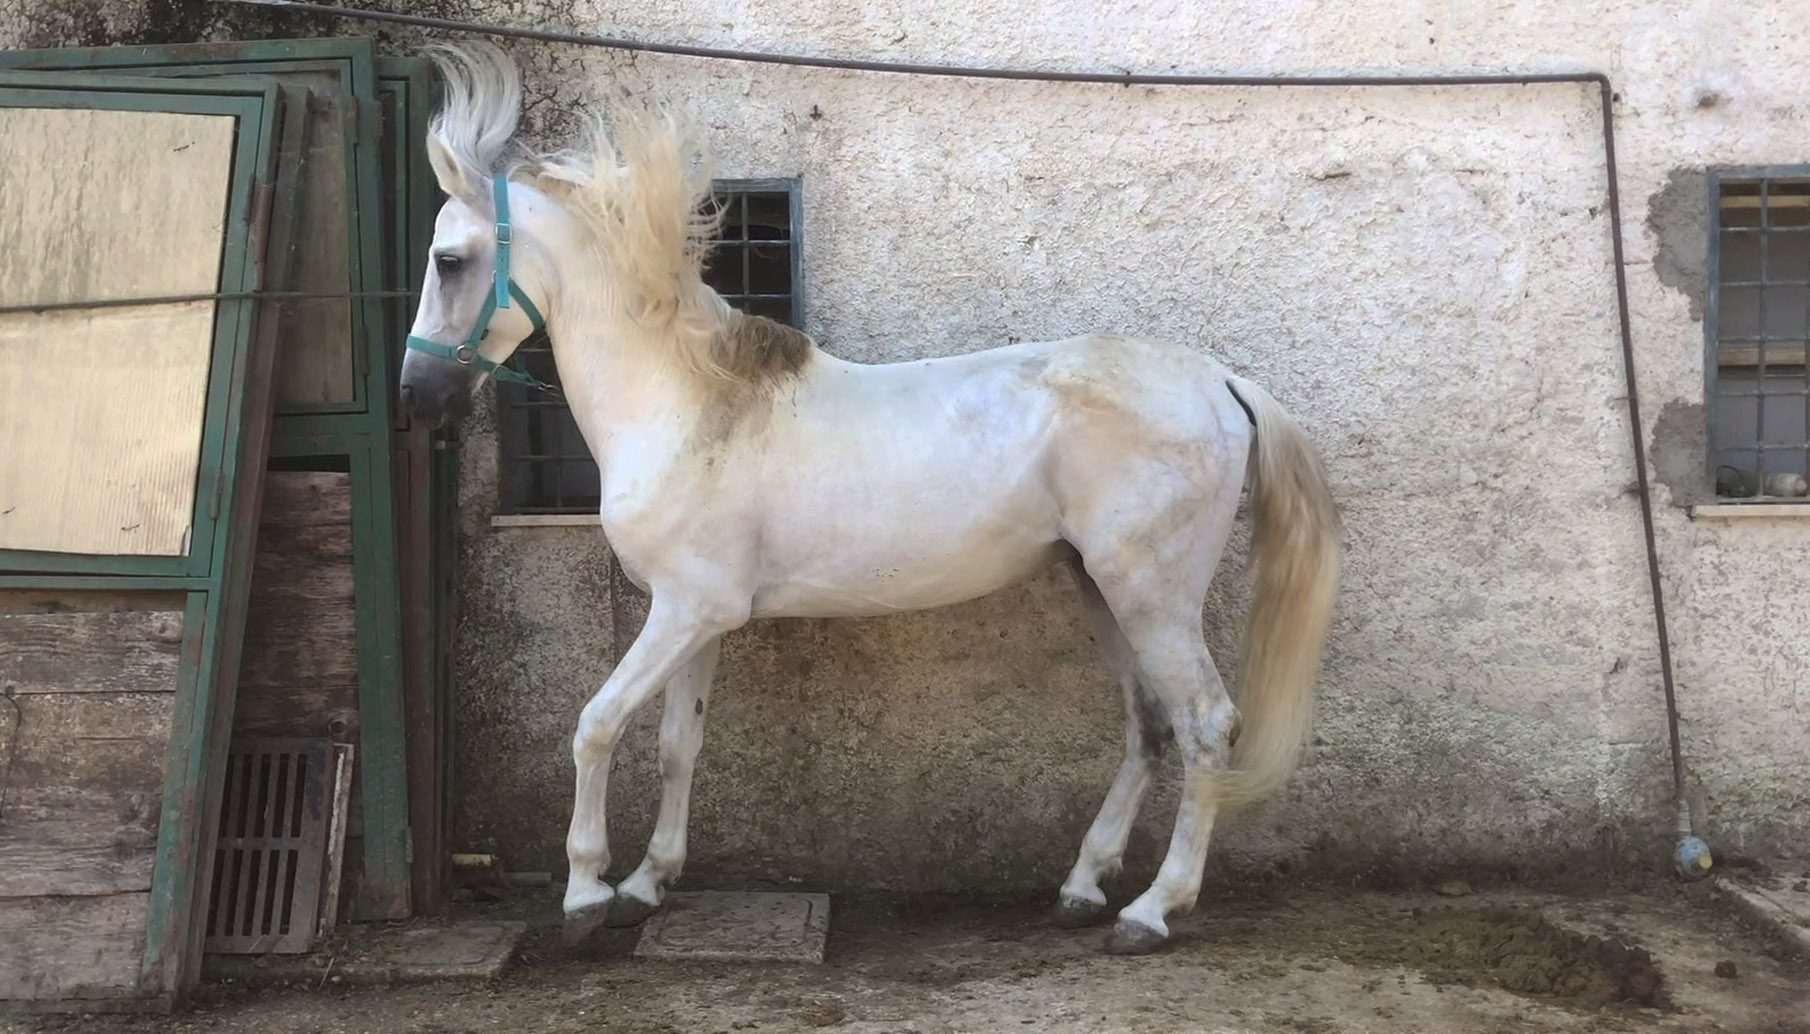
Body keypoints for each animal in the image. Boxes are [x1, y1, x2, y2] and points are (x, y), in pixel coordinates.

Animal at [398, 42, 1341, 955]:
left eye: (449, 260)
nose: (417, 396)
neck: (691, 404)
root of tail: (1219, 380)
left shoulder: (684, 611)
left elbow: (596, 725)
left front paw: (587, 895)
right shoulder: (698, 618)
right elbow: (677, 745)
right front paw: (646, 884)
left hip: (1152, 593)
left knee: (1206, 724)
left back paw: (1150, 911)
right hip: (1100, 585)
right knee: (1149, 723)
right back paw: (1081, 889)